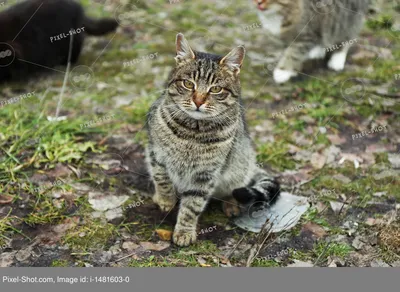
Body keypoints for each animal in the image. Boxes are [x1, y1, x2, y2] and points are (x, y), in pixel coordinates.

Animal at [145, 32, 280, 246]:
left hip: (239, 167)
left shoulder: (205, 173)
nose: (198, 101)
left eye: (215, 89)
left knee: (236, 188)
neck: (191, 132)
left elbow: (192, 205)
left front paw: (184, 231)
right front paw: (166, 200)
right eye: (188, 84)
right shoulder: (155, 154)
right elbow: (162, 179)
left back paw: (232, 205)